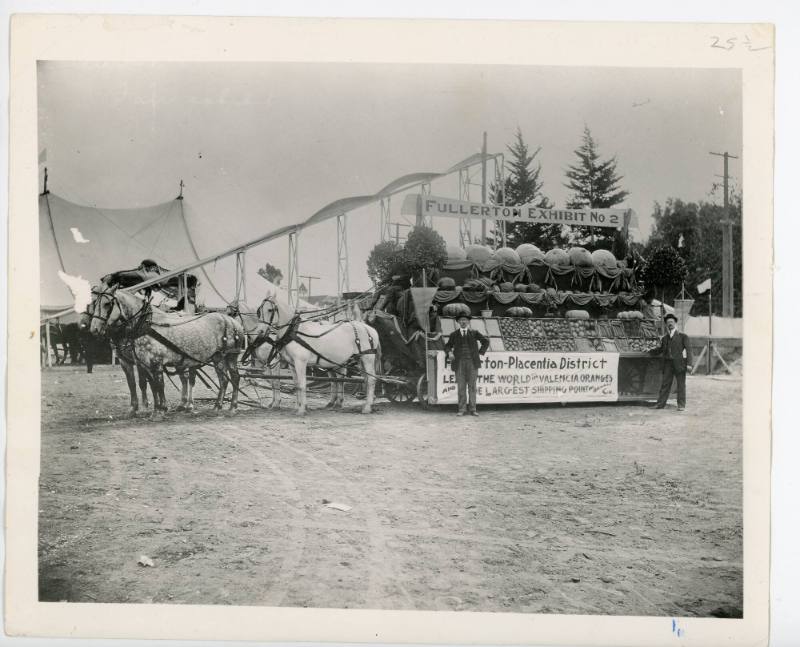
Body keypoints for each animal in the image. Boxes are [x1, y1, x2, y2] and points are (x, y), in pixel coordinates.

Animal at [255, 288, 382, 418]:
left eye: (270, 310)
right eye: (259, 310)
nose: (260, 331)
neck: (294, 331)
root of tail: (369, 328)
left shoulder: (300, 362)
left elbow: (302, 384)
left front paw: (302, 410)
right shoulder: (292, 364)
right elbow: (296, 384)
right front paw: (298, 407)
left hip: (367, 357)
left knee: (371, 380)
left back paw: (367, 407)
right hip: (359, 359)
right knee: (364, 379)